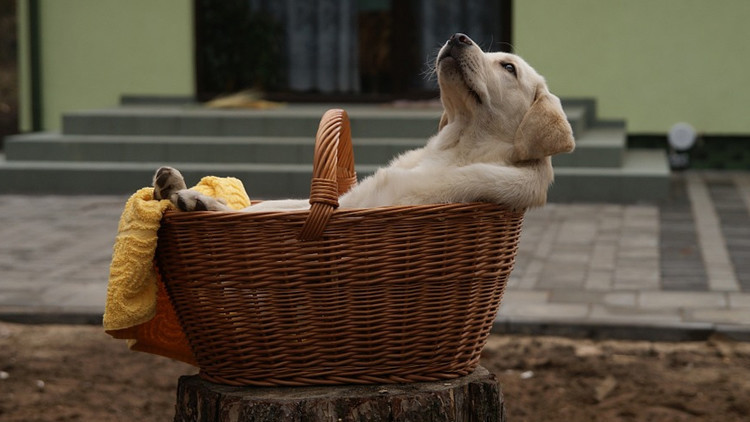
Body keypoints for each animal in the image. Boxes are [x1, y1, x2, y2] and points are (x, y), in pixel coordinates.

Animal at [154, 33, 576, 213]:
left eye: (509, 68)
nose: (458, 36)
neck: (454, 147)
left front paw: (194, 198)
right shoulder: (342, 200)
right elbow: (268, 206)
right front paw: (190, 193)